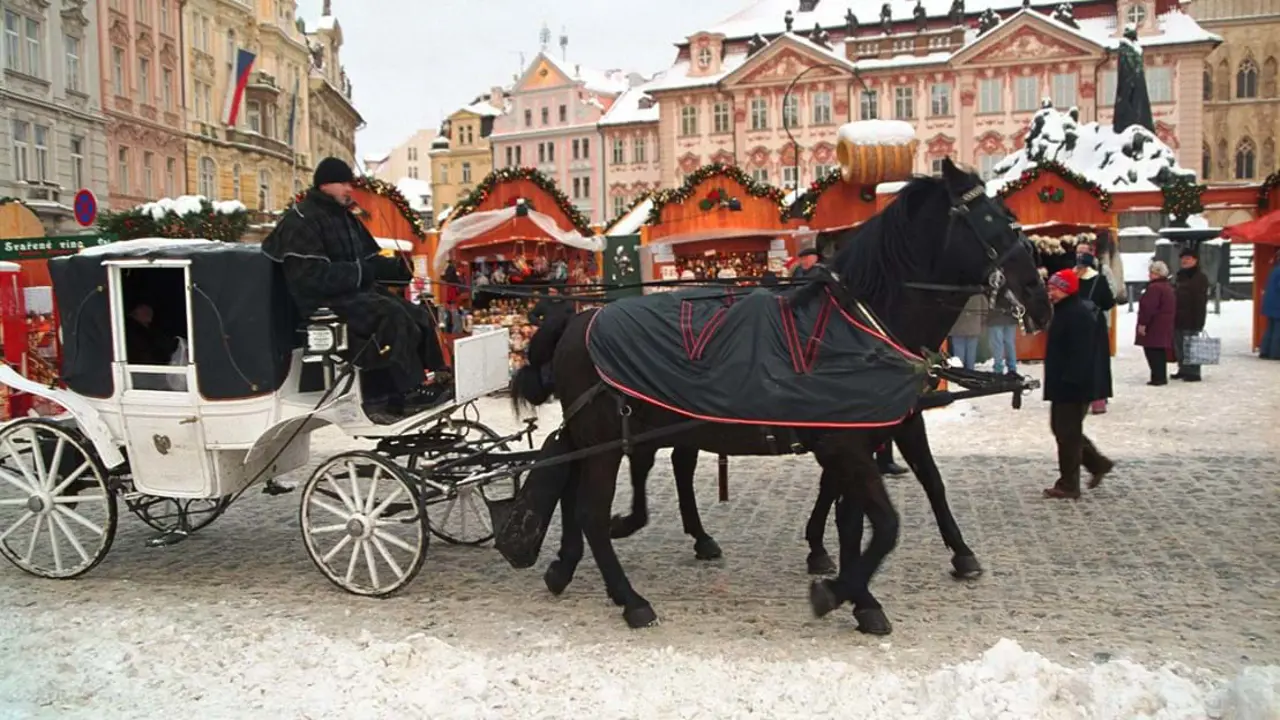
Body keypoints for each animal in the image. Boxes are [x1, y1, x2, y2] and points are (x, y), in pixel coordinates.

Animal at [509, 159, 1049, 630]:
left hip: (613, 436)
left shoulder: (871, 434)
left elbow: (869, 516)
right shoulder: (847, 444)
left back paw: (568, 565)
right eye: (993, 221)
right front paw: (838, 591)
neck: (861, 325)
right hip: (609, 439)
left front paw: (860, 593)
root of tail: (575, 320)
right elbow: (884, 524)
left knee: (584, 493)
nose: (1039, 298)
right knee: (592, 512)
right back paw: (630, 598)